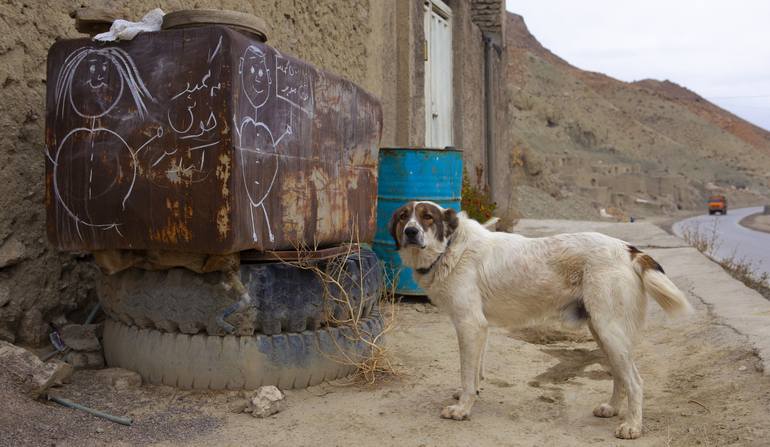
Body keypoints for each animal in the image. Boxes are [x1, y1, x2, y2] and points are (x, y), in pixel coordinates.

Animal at [390, 201, 688, 440]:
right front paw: (470, 394)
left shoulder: (469, 324)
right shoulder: (479, 328)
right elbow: (475, 372)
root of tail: (629, 250)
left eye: (428, 217)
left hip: (609, 331)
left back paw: (632, 426)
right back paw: (613, 409)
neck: (450, 250)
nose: (410, 232)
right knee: (619, 374)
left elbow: (466, 373)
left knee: (635, 381)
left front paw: (463, 409)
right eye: (404, 216)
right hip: (602, 331)